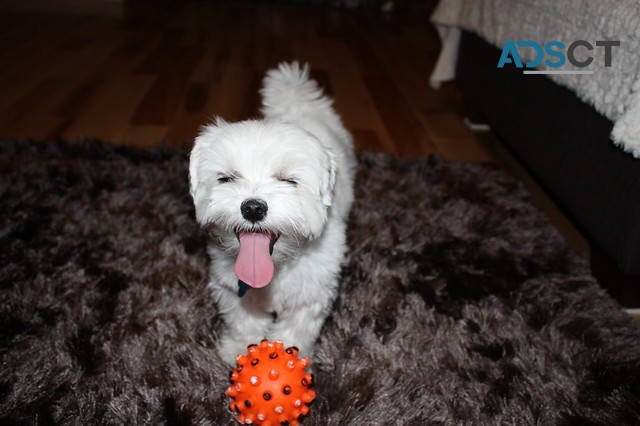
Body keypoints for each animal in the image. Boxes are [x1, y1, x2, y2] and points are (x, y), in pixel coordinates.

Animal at [188, 61, 358, 364]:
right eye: (226, 178)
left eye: (288, 180)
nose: (253, 207)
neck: (275, 268)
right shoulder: (231, 287)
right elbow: (243, 319)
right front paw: (239, 347)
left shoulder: (311, 294)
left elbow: (297, 327)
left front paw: (289, 357)